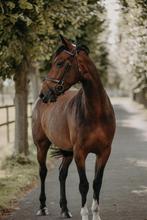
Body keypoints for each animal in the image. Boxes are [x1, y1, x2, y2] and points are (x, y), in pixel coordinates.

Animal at [32, 36, 116, 220]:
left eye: (59, 63)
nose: (44, 94)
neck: (95, 112)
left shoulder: (104, 152)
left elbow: (97, 183)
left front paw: (96, 215)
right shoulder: (80, 152)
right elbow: (83, 184)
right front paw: (85, 214)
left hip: (68, 151)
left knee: (62, 174)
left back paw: (65, 209)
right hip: (42, 146)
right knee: (42, 172)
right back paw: (42, 207)